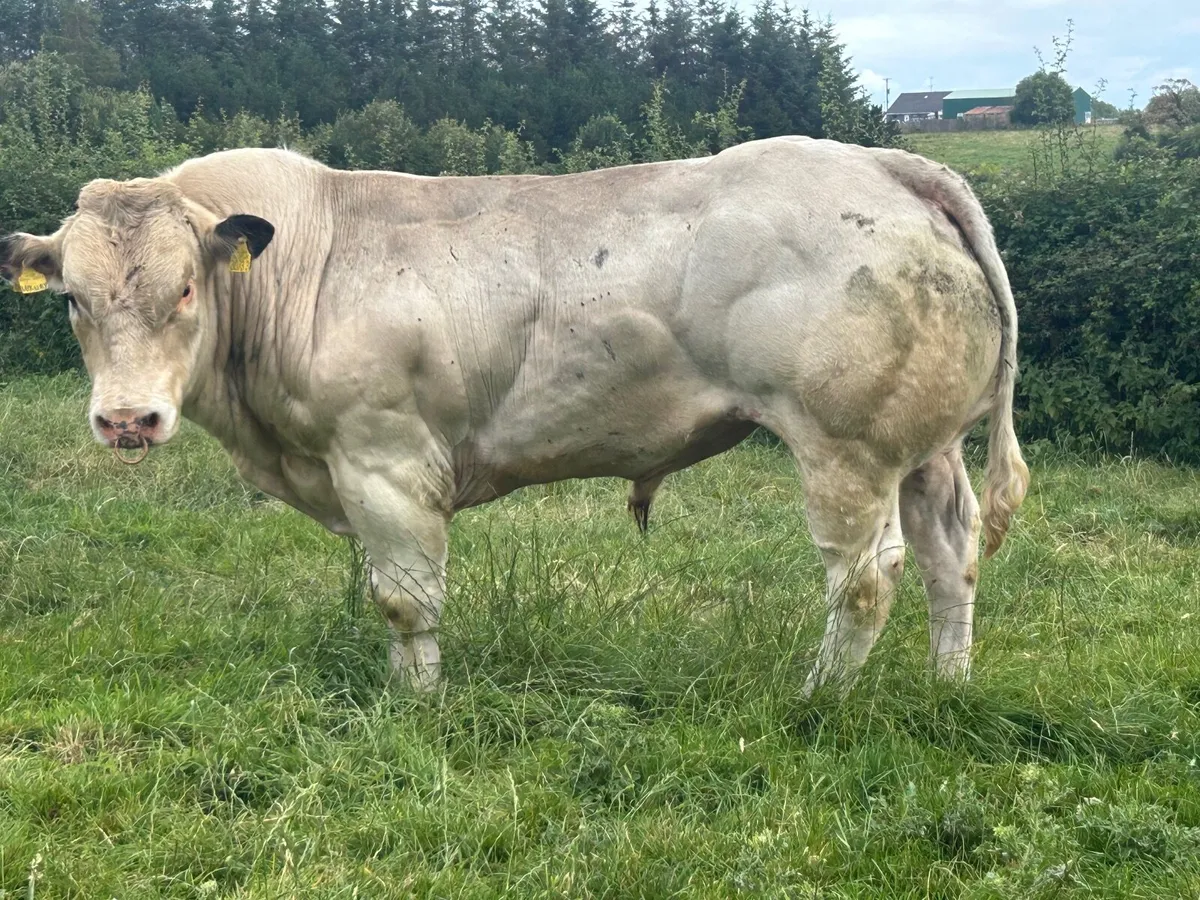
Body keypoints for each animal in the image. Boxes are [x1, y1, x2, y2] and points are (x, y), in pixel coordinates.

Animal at [0, 136, 1028, 695]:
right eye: (73, 300)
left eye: (184, 288)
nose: (128, 420)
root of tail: (886, 164)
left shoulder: (385, 457)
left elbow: (403, 599)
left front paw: (418, 708)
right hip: (923, 450)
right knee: (950, 556)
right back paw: (947, 685)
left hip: (846, 447)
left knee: (864, 581)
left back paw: (815, 700)